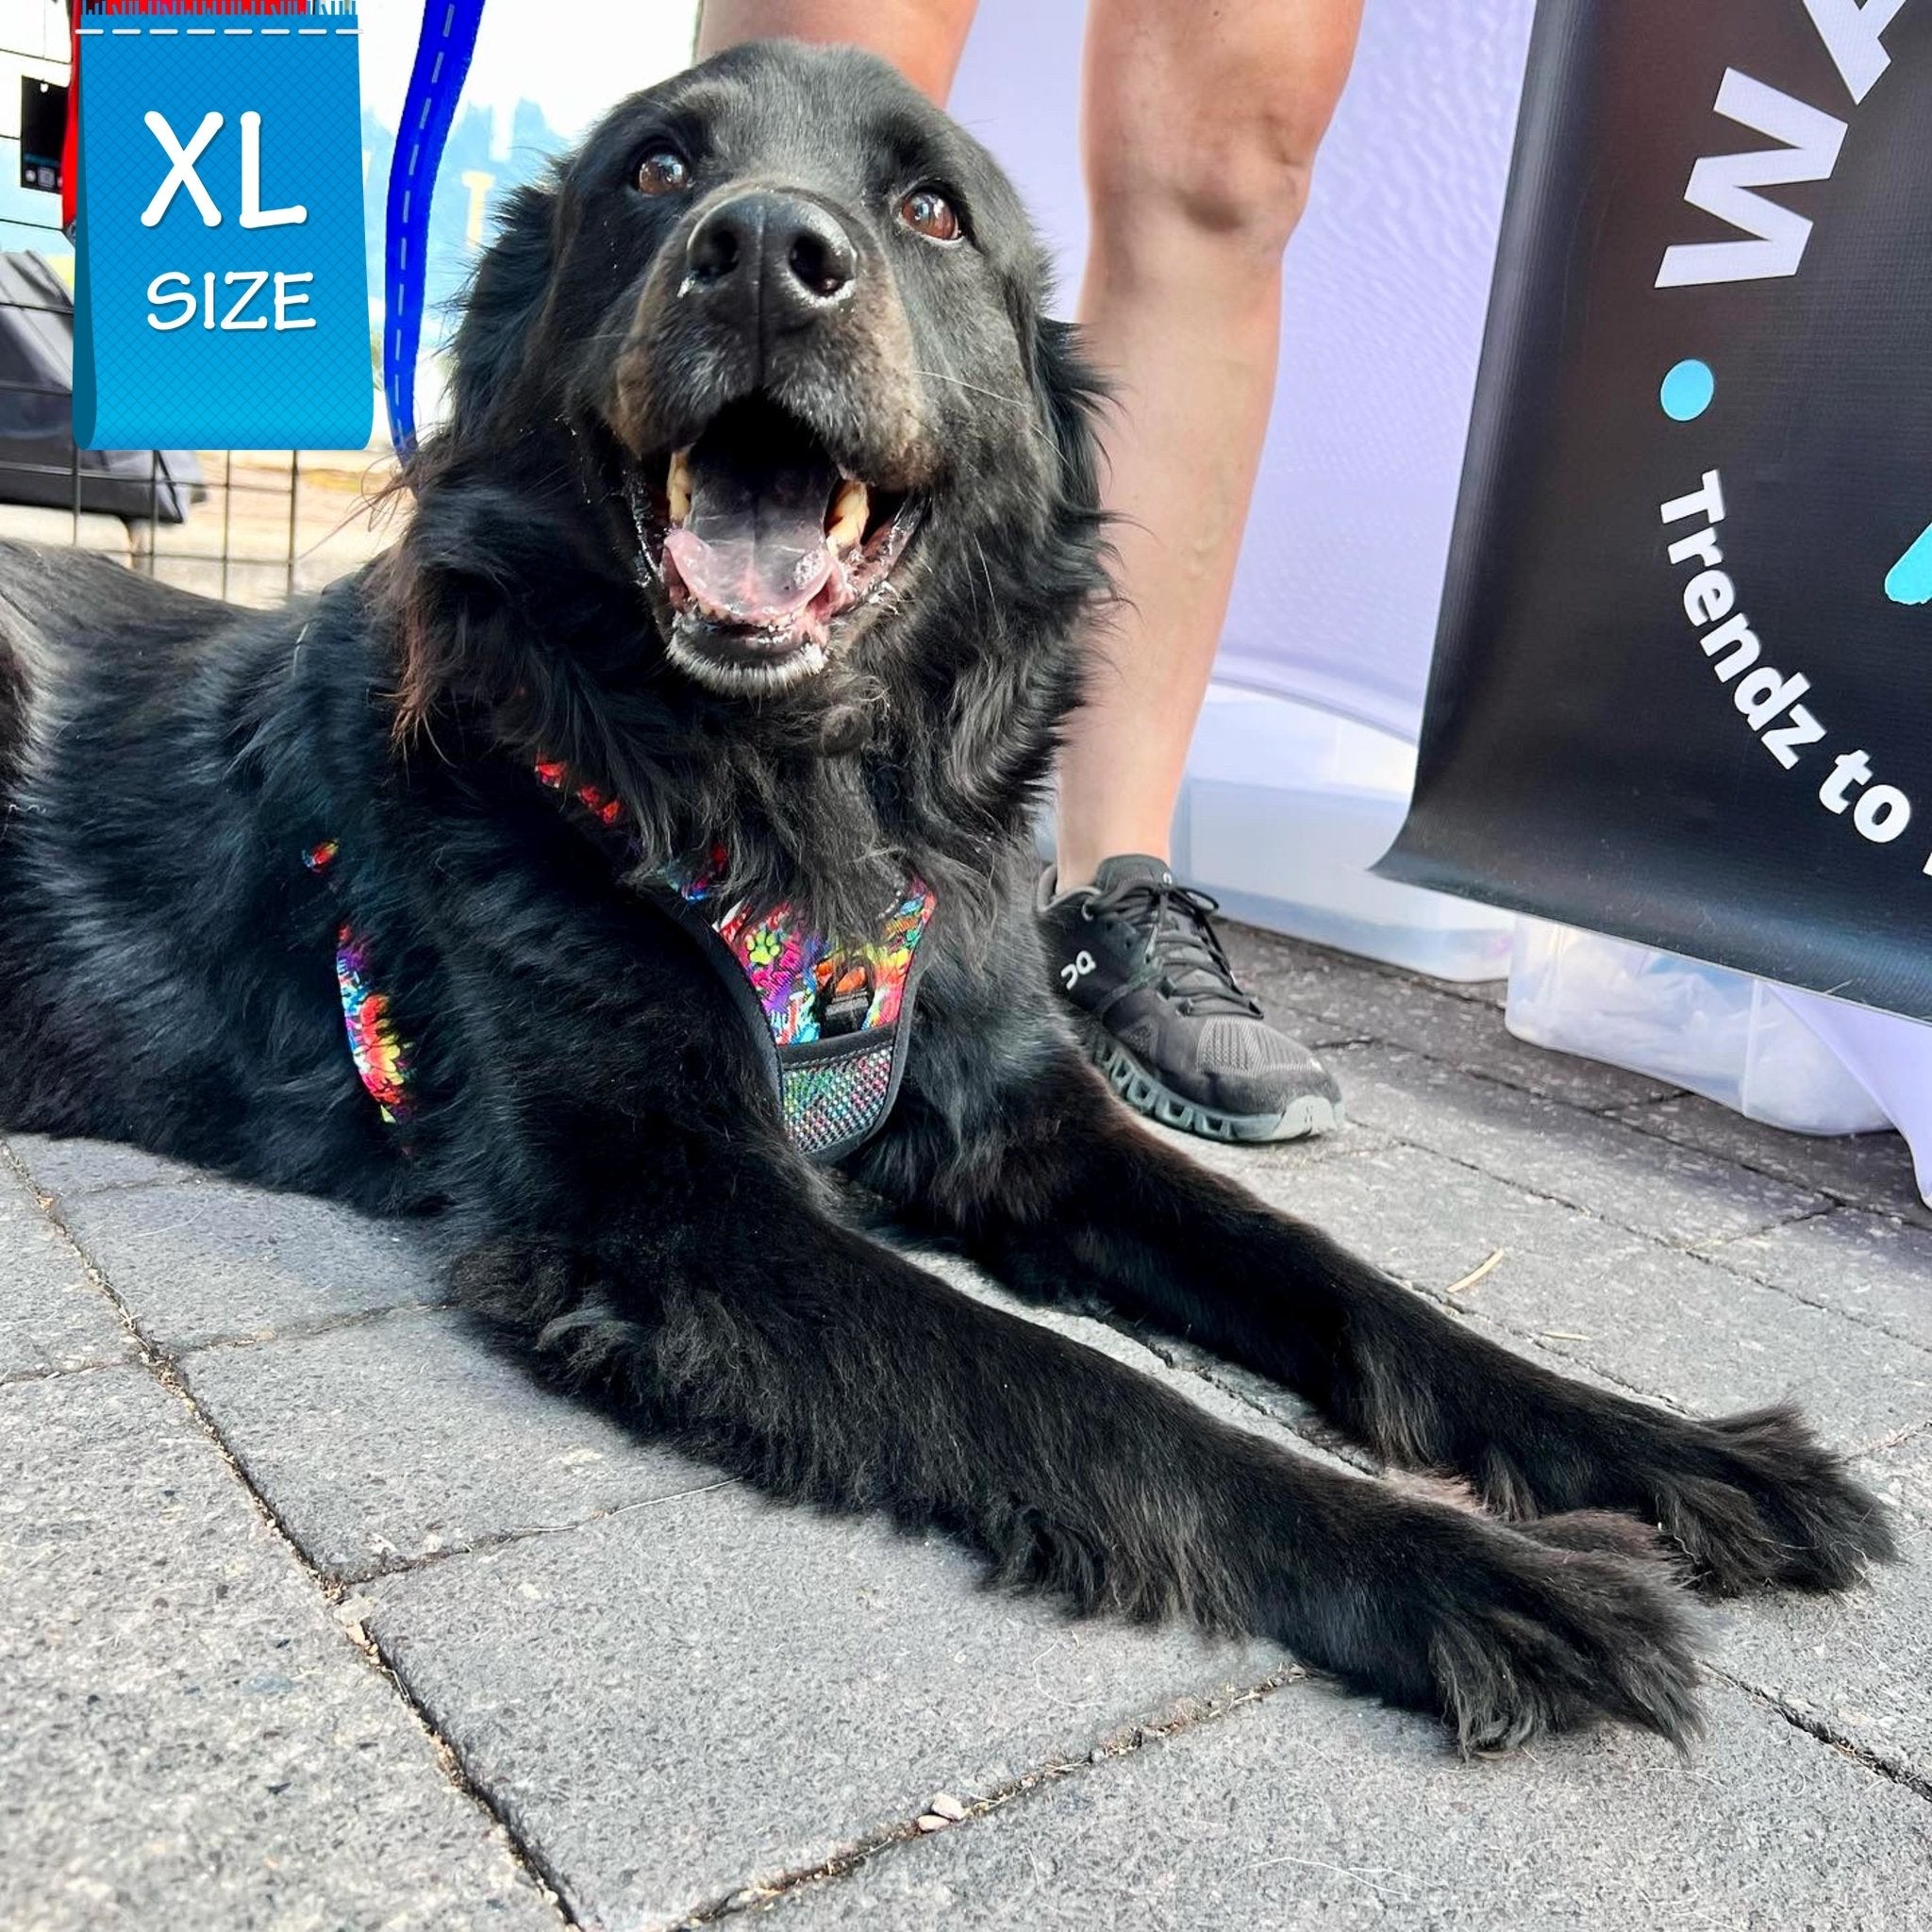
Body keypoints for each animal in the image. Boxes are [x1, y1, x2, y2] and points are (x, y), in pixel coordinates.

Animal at [0, 42, 1885, 1754]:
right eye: (654, 173)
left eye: (929, 213)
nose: (767, 250)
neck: (792, 809)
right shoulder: (684, 1226)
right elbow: (1094, 1397)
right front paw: (1477, 1572)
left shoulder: (1017, 1121)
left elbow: (1339, 1275)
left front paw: (1668, 1450)